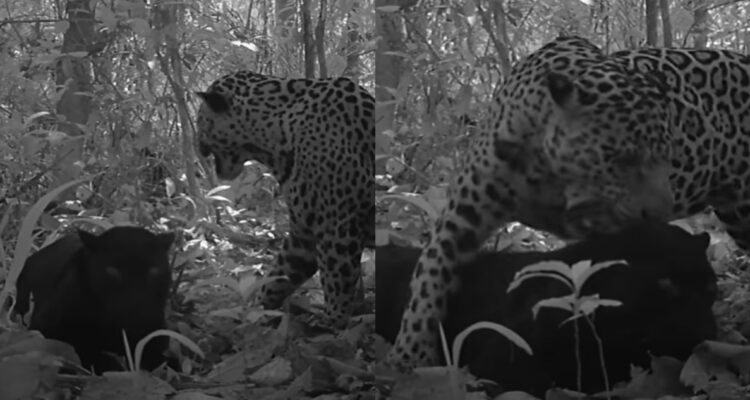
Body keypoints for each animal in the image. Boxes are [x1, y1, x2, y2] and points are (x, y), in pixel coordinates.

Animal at [195, 71, 375, 328]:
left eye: (201, 120)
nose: (198, 146)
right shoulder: (304, 233)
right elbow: (280, 274)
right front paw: (257, 310)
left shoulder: (337, 227)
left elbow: (336, 277)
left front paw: (332, 321)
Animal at [387, 36, 750, 369]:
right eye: (623, 159)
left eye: (669, 153)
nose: (659, 214)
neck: (547, 170)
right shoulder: (464, 211)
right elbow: (430, 275)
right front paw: (410, 355)